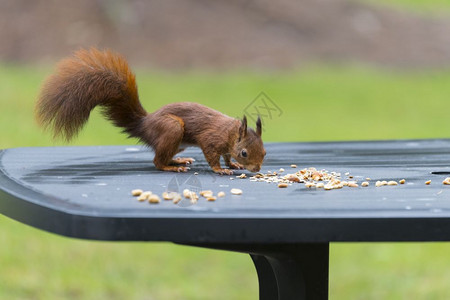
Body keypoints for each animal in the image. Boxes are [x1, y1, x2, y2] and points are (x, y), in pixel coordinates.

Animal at [37, 47, 268, 173]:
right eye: (244, 152)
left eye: (265, 152)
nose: (257, 169)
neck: (231, 133)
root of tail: (144, 124)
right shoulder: (211, 139)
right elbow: (212, 155)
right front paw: (220, 169)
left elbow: (227, 156)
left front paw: (233, 165)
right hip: (172, 128)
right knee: (157, 161)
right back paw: (172, 166)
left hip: (178, 141)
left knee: (163, 155)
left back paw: (178, 160)